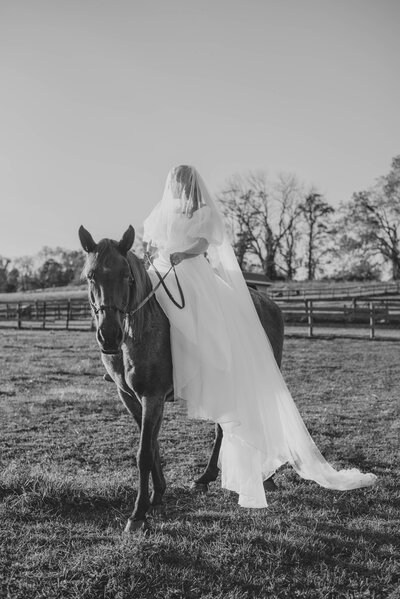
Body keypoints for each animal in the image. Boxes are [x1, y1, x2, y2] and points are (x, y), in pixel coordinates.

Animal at [78, 226, 284, 536]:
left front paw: (138, 514)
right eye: (91, 276)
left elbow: (143, 453)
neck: (140, 328)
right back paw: (206, 478)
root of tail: (269, 303)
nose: (109, 336)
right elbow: (152, 446)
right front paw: (157, 495)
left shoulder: (153, 396)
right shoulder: (130, 397)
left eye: (126, 276)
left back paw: (267, 476)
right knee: (222, 429)